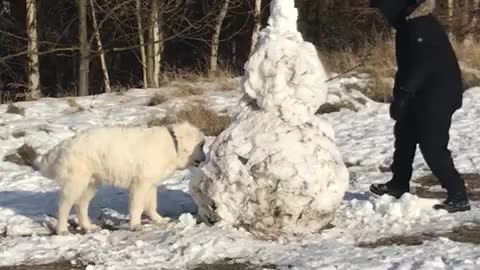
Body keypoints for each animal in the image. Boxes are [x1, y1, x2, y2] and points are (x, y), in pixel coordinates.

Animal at [26, 122, 204, 234]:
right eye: (201, 145)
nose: (205, 158)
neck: (173, 144)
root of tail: (64, 144)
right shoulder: (140, 184)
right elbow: (137, 207)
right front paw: (135, 225)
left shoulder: (150, 184)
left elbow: (152, 205)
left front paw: (158, 220)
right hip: (76, 182)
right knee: (63, 206)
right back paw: (62, 230)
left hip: (91, 184)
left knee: (81, 205)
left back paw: (88, 227)